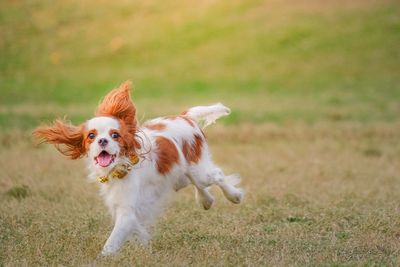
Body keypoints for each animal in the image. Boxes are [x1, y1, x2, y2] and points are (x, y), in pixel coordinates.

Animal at [33, 81, 244, 255]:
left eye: (115, 135)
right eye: (91, 136)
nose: (102, 141)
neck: (119, 167)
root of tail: (185, 117)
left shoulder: (127, 212)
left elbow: (111, 242)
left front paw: (103, 256)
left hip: (198, 171)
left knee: (216, 176)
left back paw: (234, 196)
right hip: (181, 175)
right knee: (197, 184)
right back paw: (205, 200)